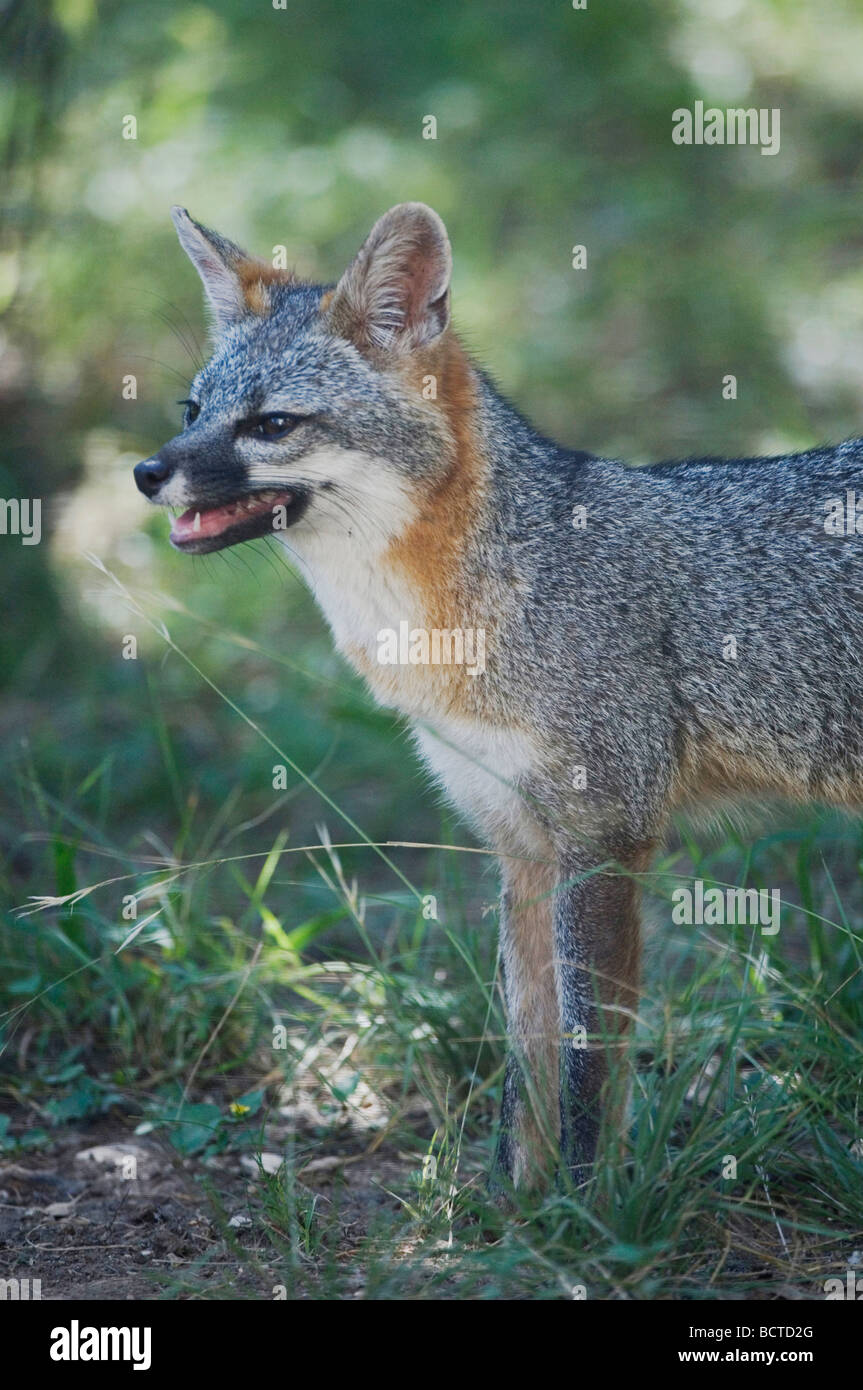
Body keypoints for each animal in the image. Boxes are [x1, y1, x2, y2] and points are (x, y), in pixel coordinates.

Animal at [134, 201, 861, 1189]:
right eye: (193, 412)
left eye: (272, 424)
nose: (145, 472)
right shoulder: (516, 844)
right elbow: (527, 1055)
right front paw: (513, 1204)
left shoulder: (604, 838)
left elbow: (589, 1059)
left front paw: (590, 1209)